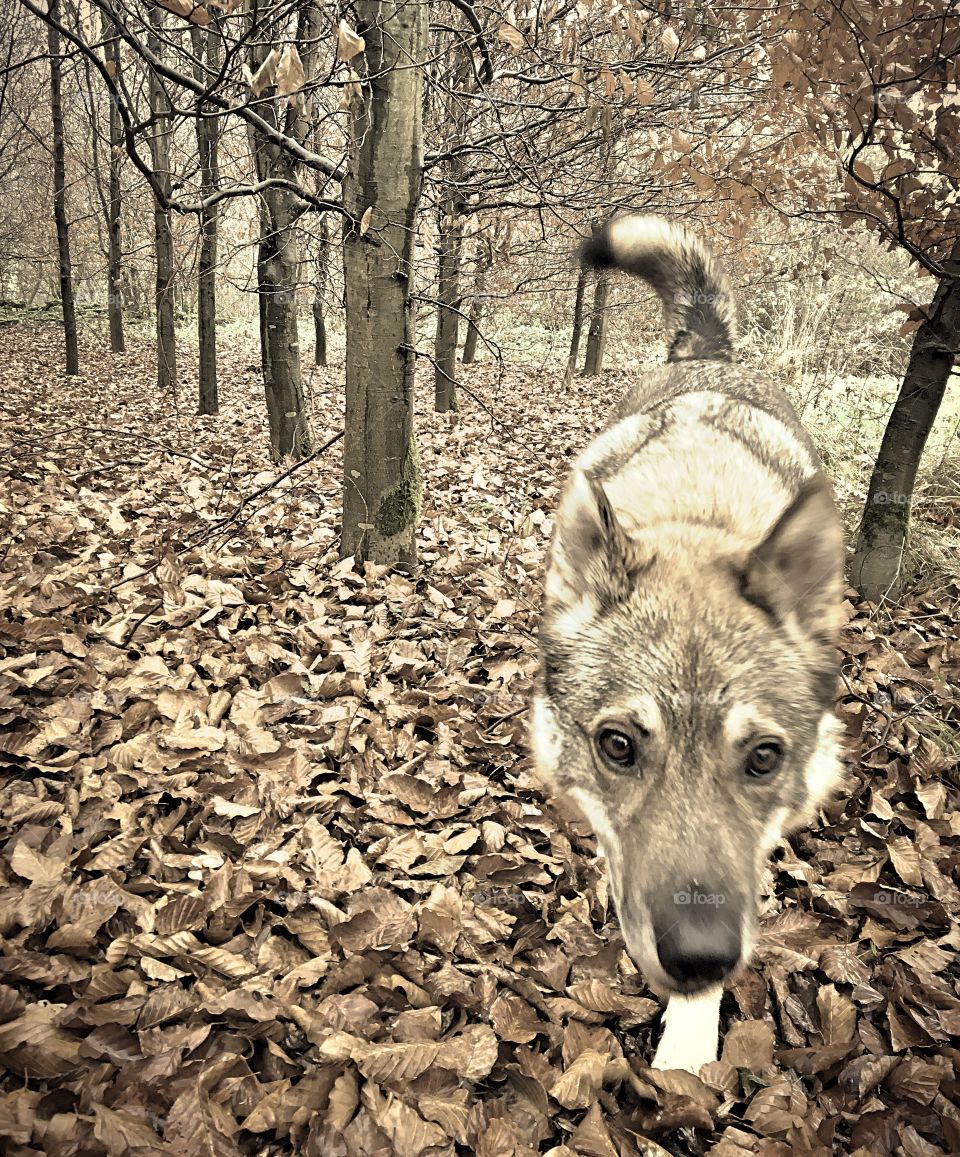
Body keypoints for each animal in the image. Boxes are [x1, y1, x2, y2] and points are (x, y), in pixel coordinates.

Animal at [534, 218, 851, 1073]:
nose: (702, 958)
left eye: (764, 758)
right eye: (618, 745)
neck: (697, 514)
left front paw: (688, 1042)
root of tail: (709, 351)